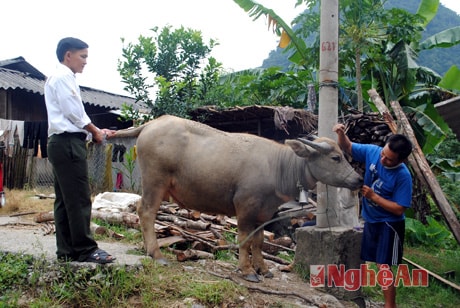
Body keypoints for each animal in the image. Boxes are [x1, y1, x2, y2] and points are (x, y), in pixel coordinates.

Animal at [112, 115, 362, 282]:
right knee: (146, 212)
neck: (278, 167)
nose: (358, 179)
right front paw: (248, 270)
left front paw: (263, 269)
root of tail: (151, 123)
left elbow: (259, 241)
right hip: (155, 182)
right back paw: (156, 254)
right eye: (336, 157)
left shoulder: (264, 213)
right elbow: (244, 239)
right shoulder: (245, 207)